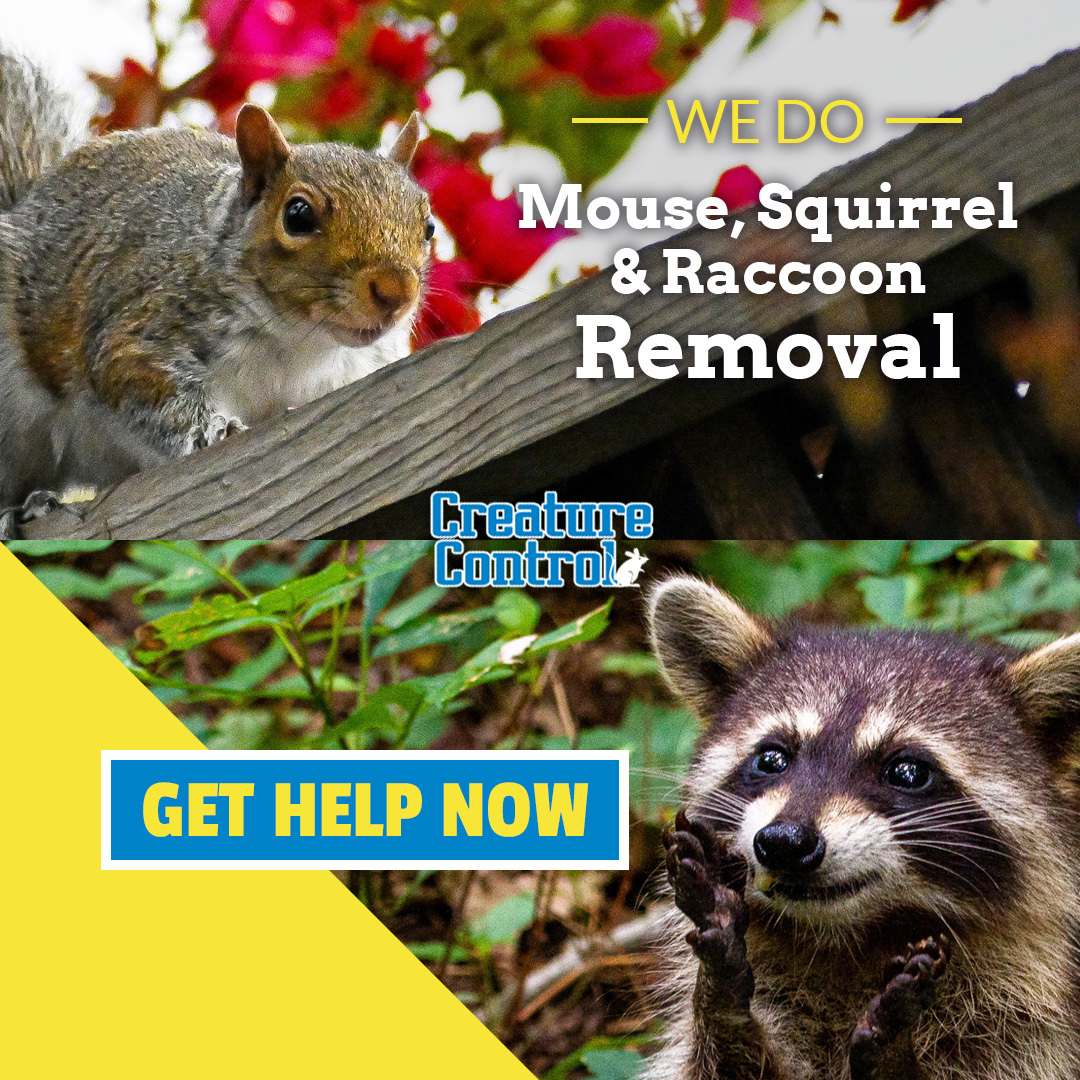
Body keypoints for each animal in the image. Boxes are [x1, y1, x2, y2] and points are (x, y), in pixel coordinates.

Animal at [0, 48, 433, 537]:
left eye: (428, 227)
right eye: (297, 215)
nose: (396, 291)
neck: (300, 342)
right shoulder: (140, 325)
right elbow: (143, 383)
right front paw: (213, 430)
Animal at [644, 576, 1080, 1080]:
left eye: (907, 772)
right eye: (771, 758)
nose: (785, 842)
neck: (849, 944)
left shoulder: (1029, 1026)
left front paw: (894, 1056)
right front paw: (721, 996)